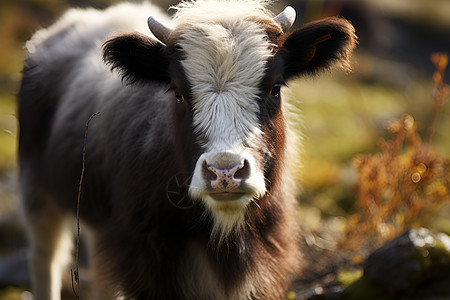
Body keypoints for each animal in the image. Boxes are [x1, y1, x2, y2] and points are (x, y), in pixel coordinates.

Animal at [16, 1, 356, 298]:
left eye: (275, 89)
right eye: (179, 93)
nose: (225, 172)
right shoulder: (146, 263)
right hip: (36, 188)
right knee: (45, 257)